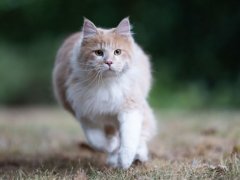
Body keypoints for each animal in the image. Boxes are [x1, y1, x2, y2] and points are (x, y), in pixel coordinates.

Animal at [52, 17, 157, 169]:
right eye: (98, 52)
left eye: (117, 52)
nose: (109, 62)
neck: (106, 84)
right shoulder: (86, 114)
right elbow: (96, 140)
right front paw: (111, 148)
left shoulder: (130, 108)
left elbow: (129, 137)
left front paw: (124, 160)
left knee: (141, 134)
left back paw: (138, 156)